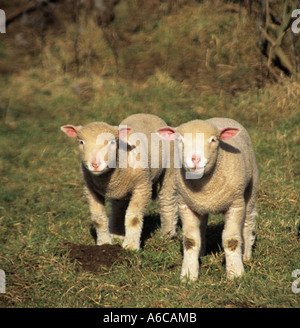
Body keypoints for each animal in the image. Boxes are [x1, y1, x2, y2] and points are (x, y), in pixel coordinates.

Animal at [61, 114, 178, 250]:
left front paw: (131, 247)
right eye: (81, 142)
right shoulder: (90, 189)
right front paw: (104, 243)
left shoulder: (142, 187)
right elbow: (98, 219)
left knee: (167, 199)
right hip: (120, 190)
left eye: (112, 142)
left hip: (170, 169)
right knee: (118, 208)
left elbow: (133, 218)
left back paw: (167, 235)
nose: (95, 164)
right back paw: (117, 235)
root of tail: (147, 115)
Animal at [157, 116, 258, 280]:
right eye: (180, 140)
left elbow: (231, 241)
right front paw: (188, 275)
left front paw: (236, 274)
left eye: (213, 140)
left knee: (248, 223)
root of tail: (221, 117)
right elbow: (190, 241)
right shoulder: (185, 204)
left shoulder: (235, 205)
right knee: (202, 226)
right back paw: (201, 253)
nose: (195, 159)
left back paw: (247, 255)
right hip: (199, 205)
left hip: (250, 190)